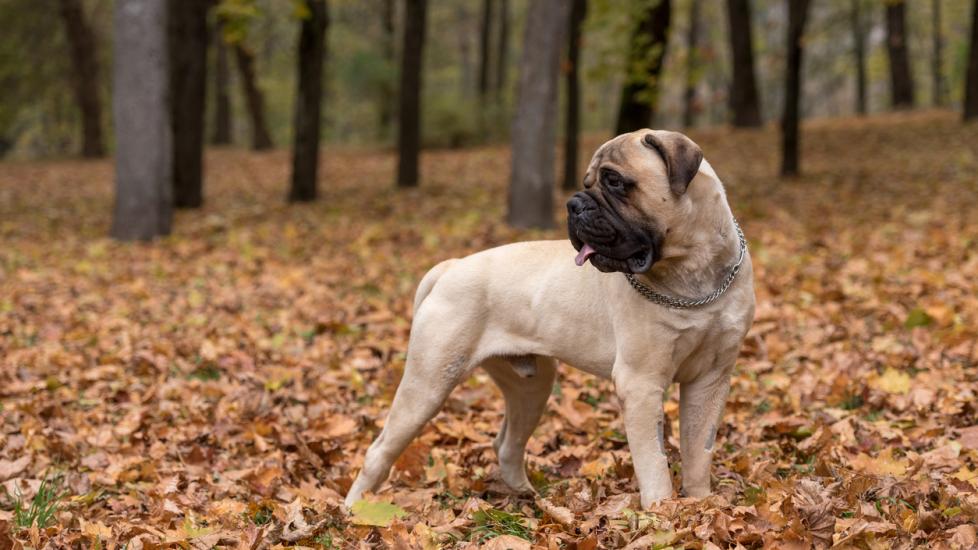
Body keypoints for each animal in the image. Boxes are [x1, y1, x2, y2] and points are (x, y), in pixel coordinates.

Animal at [344, 129, 756, 508]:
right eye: (588, 183)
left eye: (614, 181)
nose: (573, 204)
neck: (694, 276)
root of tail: (451, 266)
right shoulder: (642, 383)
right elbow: (653, 464)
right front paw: (662, 516)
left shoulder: (710, 380)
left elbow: (698, 452)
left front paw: (700, 507)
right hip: (428, 383)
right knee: (379, 449)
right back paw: (353, 509)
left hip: (531, 386)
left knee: (507, 443)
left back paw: (527, 496)